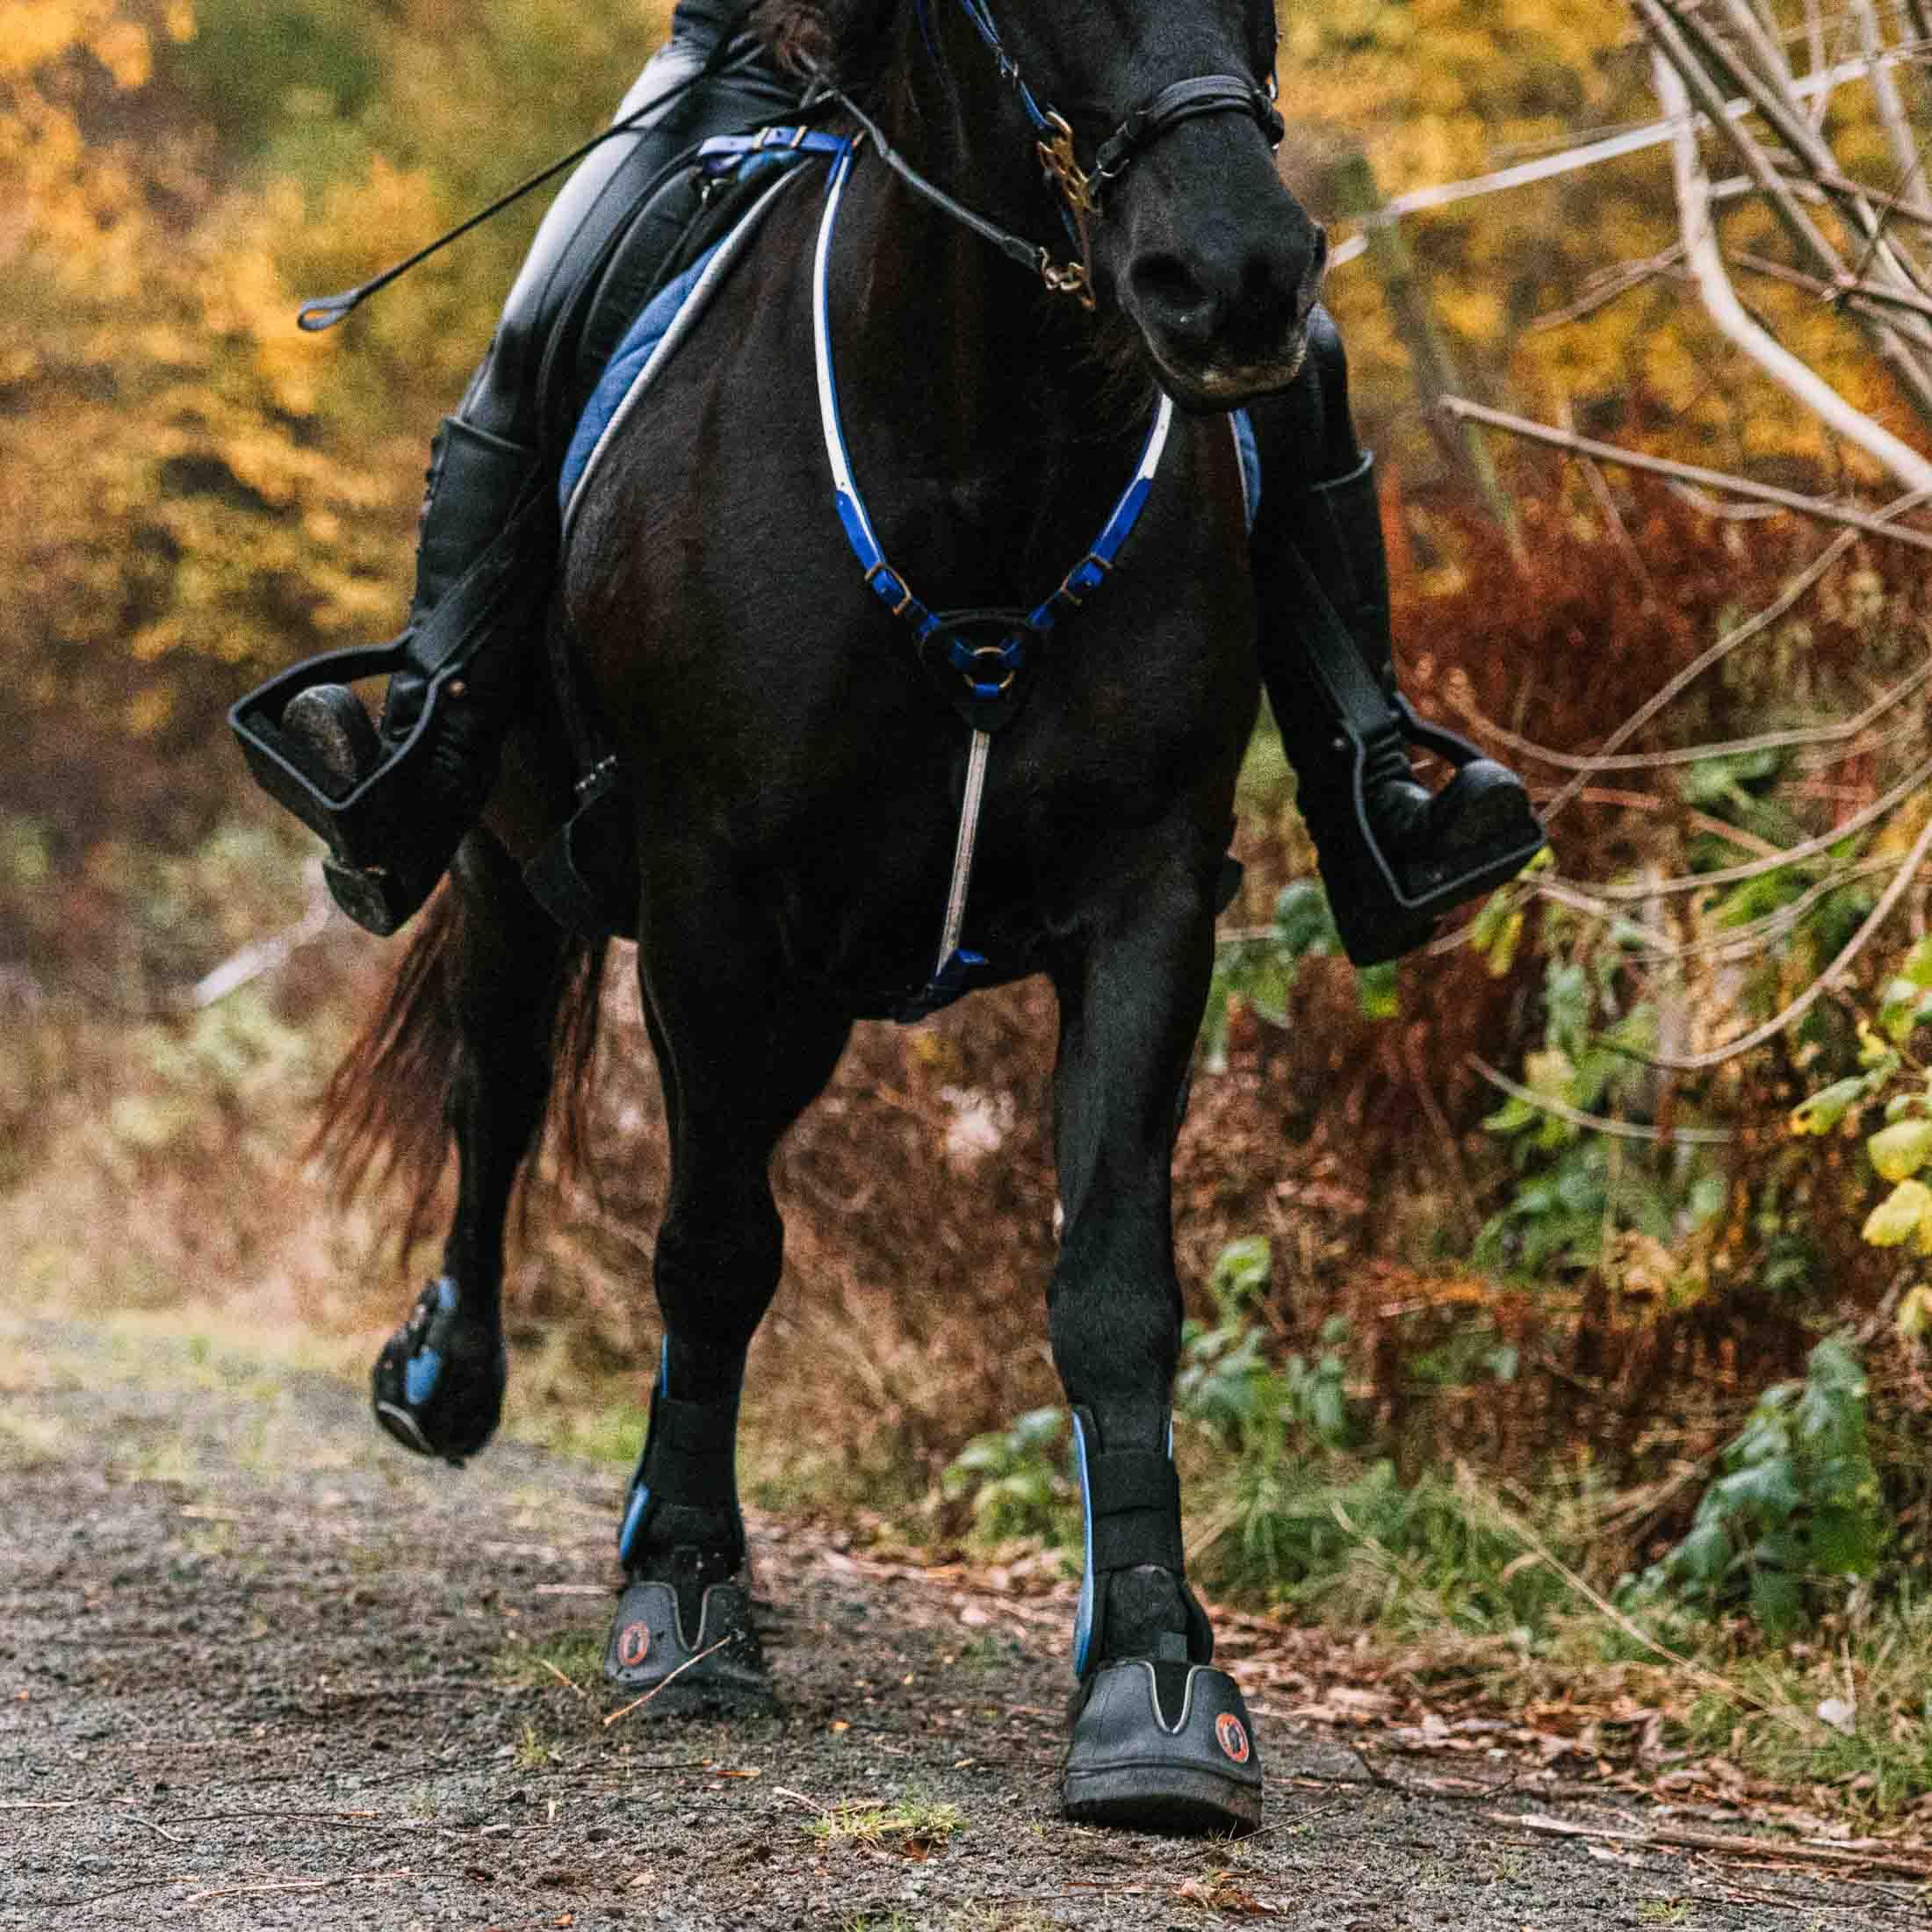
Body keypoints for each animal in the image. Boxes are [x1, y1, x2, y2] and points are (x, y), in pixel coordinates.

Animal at [321, 0, 1325, 1833]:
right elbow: (712, 1252)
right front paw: (687, 1595)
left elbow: (1112, 1288)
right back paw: (448, 1379)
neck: (985, 466)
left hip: (805, 1001)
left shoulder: (1149, 902)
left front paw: (1155, 1678)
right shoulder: (710, 906)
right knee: (499, 1095)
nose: (1235, 279)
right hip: (515, 871)